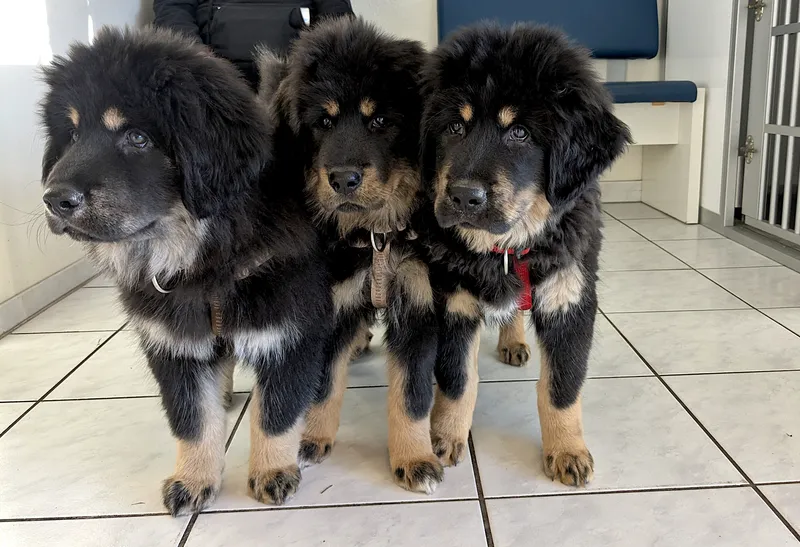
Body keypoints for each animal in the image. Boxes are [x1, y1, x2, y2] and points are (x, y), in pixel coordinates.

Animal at [40, 26, 334, 514]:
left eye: (138, 138)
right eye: (73, 134)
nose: (54, 199)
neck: (204, 260)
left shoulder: (290, 332)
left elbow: (275, 414)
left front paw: (272, 472)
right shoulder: (173, 342)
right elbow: (193, 420)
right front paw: (193, 481)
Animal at [257, 18, 448, 493]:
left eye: (380, 120)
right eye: (323, 122)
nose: (343, 179)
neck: (376, 235)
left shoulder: (417, 304)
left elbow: (412, 395)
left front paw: (415, 459)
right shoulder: (335, 304)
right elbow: (325, 383)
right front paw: (311, 439)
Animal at [418, 23, 631, 486]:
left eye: (519, 133)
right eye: (454, 127)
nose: (463, 197)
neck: (506, 249)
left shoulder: (569, 299)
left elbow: (561, 388)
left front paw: (567, 451)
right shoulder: (454, 299)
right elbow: (458, 378)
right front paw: (443, 436)